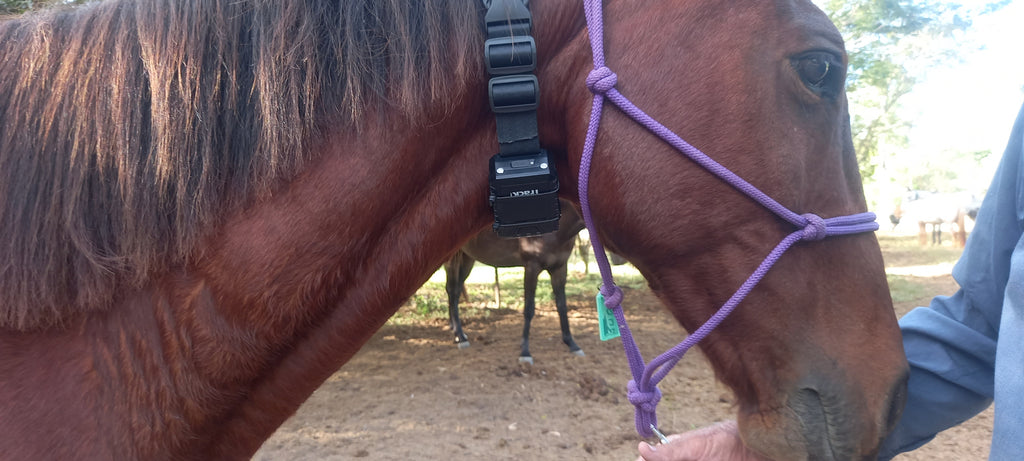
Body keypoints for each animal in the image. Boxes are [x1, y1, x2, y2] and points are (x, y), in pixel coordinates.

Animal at [445, 199, 587, 364]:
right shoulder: (532, 267)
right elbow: (529, 309)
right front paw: (525, 352)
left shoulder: (560, 268)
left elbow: (562, 306)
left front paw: (572, 344)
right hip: (453, 258)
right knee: (453, 291)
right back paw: (460, 337)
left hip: (467, 258)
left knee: (454, 290)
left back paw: (457, 332)